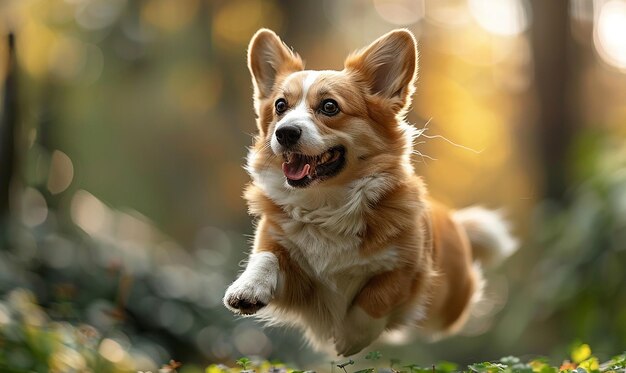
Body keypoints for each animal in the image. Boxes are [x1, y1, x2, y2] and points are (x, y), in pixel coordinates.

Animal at [222, 26, 516, 354]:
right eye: (280, 106)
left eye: (329, 106)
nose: (284, 133)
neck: (327, 203)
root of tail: (452, 218)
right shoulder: (293, 269)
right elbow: (266, 256)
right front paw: (247, 288)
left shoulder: (409, 268)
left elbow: (377, 297)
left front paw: (350, 338)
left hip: (449, 303)